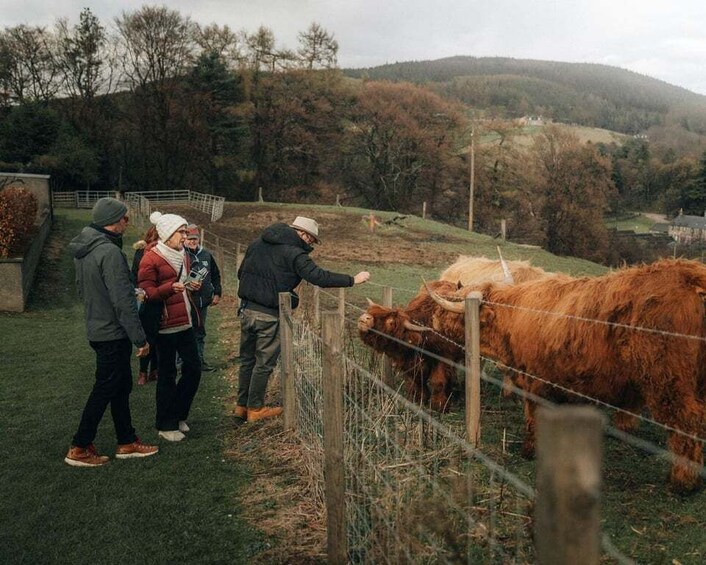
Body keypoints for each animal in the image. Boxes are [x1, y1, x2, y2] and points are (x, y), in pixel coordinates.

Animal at [425, 258, 706, 492]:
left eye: (452, 308)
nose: (434, 319)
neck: (511, 317)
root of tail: (692, 276)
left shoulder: (534, 380)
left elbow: (532, 417)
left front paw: (530, 450)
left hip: (669, 382)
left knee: (686, 424)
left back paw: (681, 482)